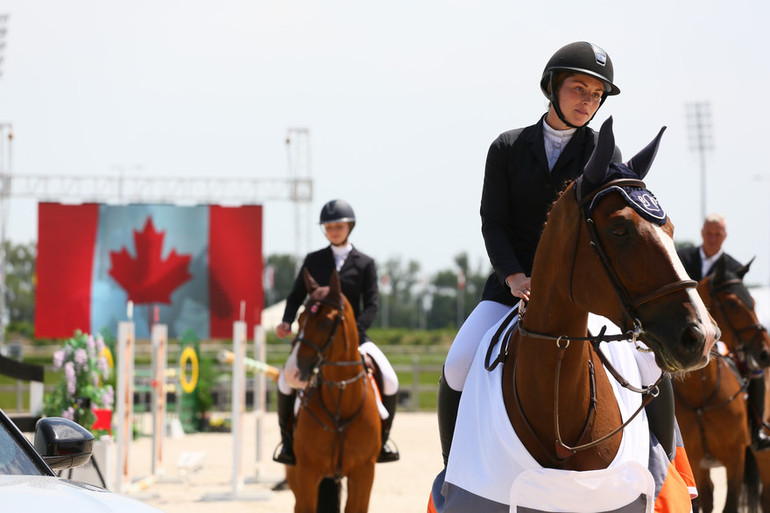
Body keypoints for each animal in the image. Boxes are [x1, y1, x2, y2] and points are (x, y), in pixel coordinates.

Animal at [284, 268, 380, 512]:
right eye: (299, 319)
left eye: (325, 322)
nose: (291, 373)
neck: (341, 400)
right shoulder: (307, 474)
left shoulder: (363, 474)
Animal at [672, 256, 768, 512]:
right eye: (733, 303)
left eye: (753, 301)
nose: (765, 352)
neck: (702, 394)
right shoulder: (696, 462)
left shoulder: (735, 458)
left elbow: (730, 505)